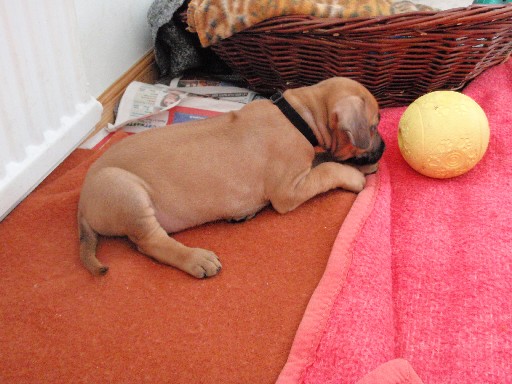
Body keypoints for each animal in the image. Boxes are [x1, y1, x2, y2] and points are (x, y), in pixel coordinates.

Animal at [78, 77, 384, 276]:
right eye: (373, 126)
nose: (382, 148)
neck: (299, 115)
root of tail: (82, 201)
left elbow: (323, 159)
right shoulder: (289, 191)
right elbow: (326, 170)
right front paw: (354, 175)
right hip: (127, 192)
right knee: (150, 242)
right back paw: (197, 259)